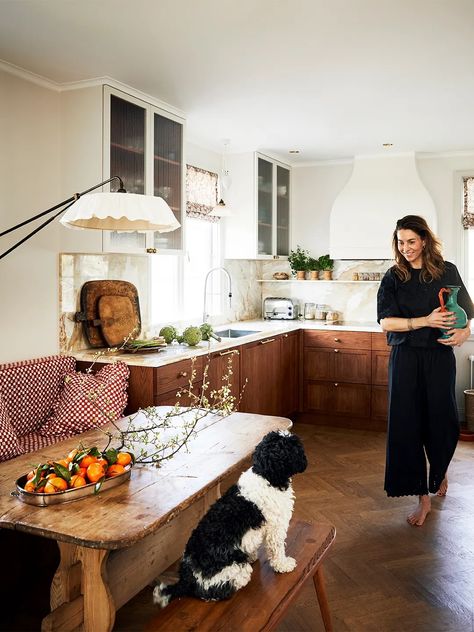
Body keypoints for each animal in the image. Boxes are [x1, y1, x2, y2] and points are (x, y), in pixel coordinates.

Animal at [153, 430, 308, 608]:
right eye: (294, 446)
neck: (266, 476)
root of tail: (187, 576)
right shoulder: (276, 527)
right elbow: (277, 550)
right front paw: (283, 565)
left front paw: (252, 555)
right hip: (235, 569)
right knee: (211, 591)